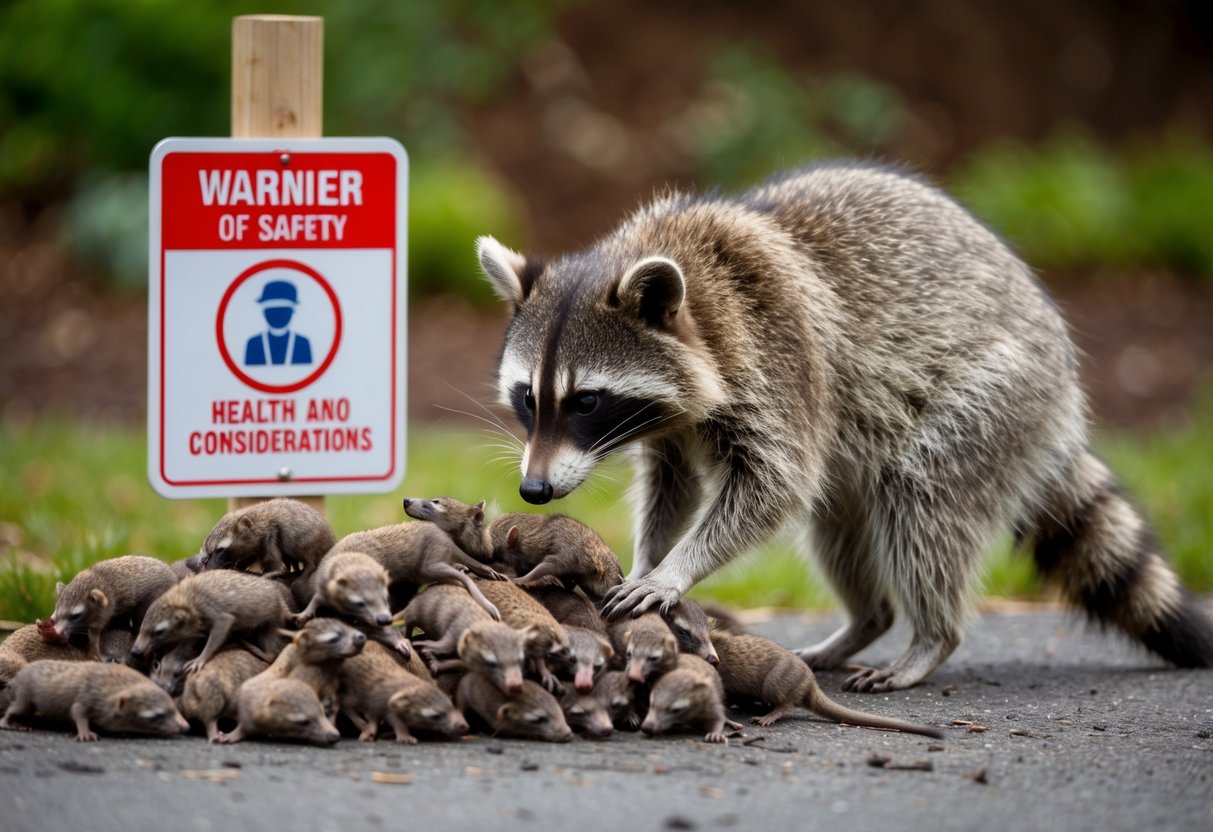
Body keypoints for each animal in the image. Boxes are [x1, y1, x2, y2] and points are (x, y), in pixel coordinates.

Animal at [478, 161, 1213, 691]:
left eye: (585, 402)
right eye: (528, 398)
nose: (534, 491)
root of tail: (1061, 389)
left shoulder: (779, 360)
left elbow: (772, 487)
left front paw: (676, 569)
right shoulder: (673, 428)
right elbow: (674, 487)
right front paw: (649, 555)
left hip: (994, 394)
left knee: (924, 503)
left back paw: (930, 637)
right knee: (837, 519)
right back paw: (866, 620)